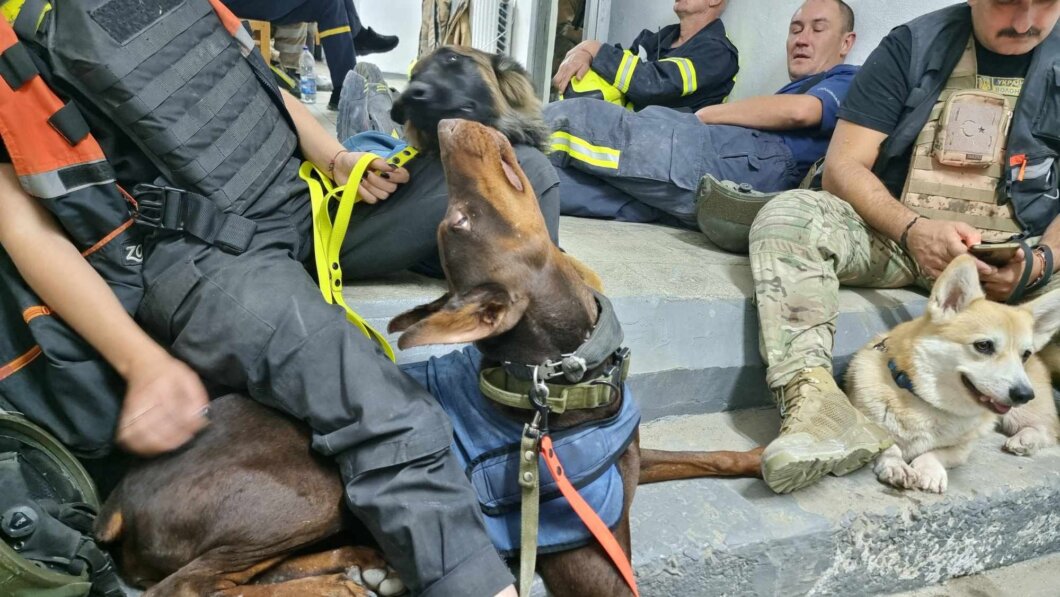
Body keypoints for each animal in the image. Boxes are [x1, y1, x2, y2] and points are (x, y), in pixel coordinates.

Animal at [97, 119, 763, 593]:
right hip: (313, 486)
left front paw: (766, 457)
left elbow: (709, 455)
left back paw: (366, 565)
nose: (444, 126)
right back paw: (344, 584)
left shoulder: (629, 463)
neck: (558, 387)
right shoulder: (584, 553)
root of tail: (117, 500)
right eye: (456, 218)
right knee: (189, 588)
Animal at [843, 256, 1060, 496]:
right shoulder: (870, 432)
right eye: (983, 345)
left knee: (1048, 430)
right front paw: (897, 467)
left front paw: (930, 471)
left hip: (1019, 413)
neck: (929, 403)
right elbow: (890, 448)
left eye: (1025, 354)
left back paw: (1024, 439)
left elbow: (937, 452)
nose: (1024, 394)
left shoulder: (962, 449)